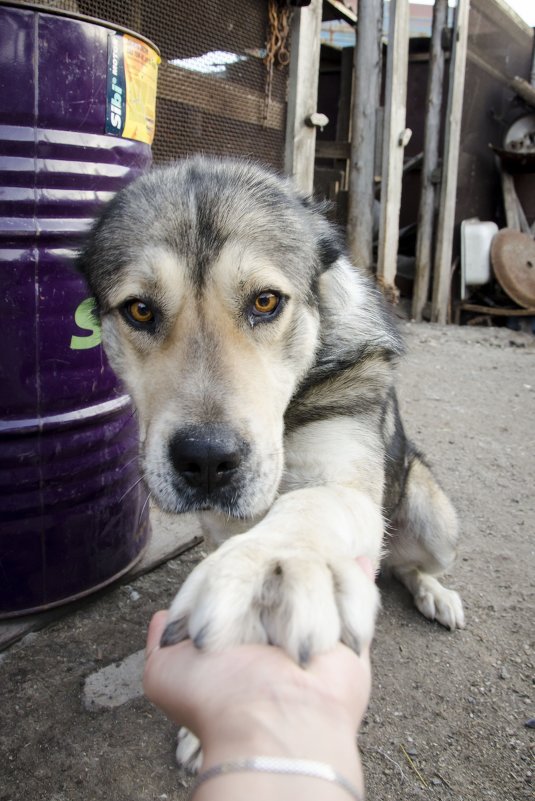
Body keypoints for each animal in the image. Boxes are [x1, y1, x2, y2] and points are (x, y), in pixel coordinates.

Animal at [78, 155, 464, 764]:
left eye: (265, 301)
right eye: (139, 310)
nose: (206, 461)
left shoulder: (344, 477)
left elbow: (315, 508)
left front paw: (278, 563)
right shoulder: (217, 526)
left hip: (433, 514)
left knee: (408, 564)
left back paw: (435, 594)